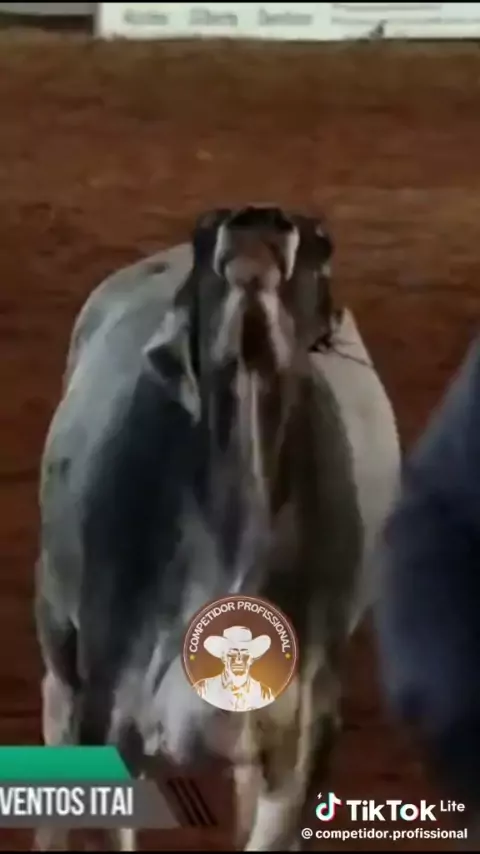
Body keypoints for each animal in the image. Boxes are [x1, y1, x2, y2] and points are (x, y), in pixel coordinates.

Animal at [33, 205, 400, 851]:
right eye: (207, 233)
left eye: (323, 244)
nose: (257, 221)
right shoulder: (110, 716)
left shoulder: (301, 743)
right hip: (55, 627)